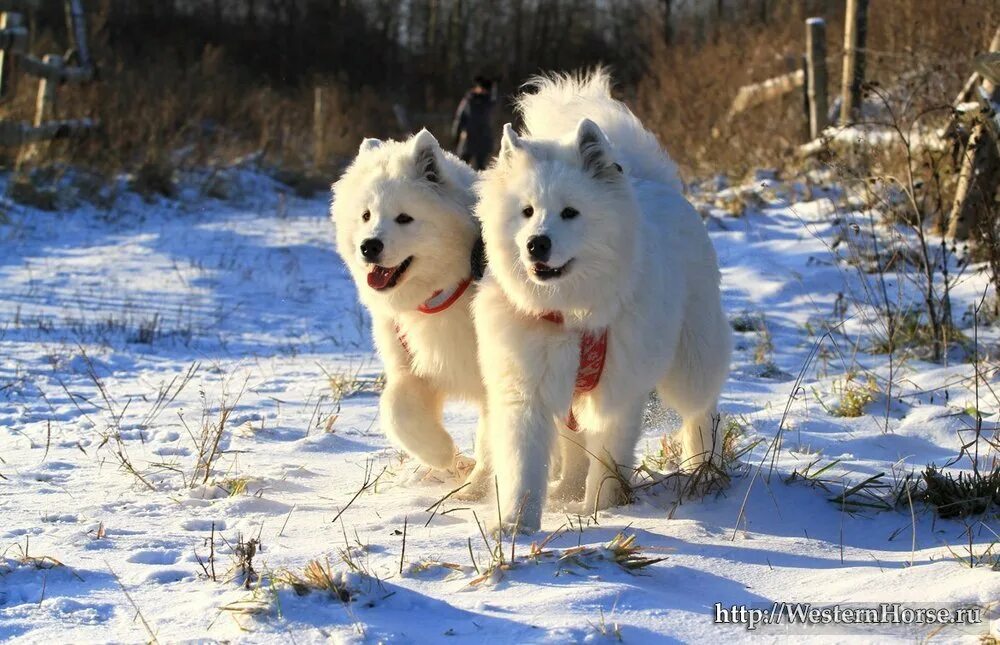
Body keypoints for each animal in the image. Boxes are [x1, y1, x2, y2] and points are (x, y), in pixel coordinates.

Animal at [332, 128, 492, 496]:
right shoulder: (413, 362)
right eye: (366, 215)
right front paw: (441, 453)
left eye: (404, 218)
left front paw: (475, 489)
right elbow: (396, 409)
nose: (369, 246)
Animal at [472, 71, 732, 532]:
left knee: (704, 412)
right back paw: (566, 492)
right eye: (527, 211)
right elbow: (524, 466)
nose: (537, 244)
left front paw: (600, 511)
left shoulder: (620, 391)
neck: (572, 313)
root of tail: (652, 182)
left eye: (570, 212)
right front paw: (516, 525)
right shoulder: (528, 389)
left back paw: (702, 467)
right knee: (573, 444)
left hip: (691, 363)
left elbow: (608, 460)